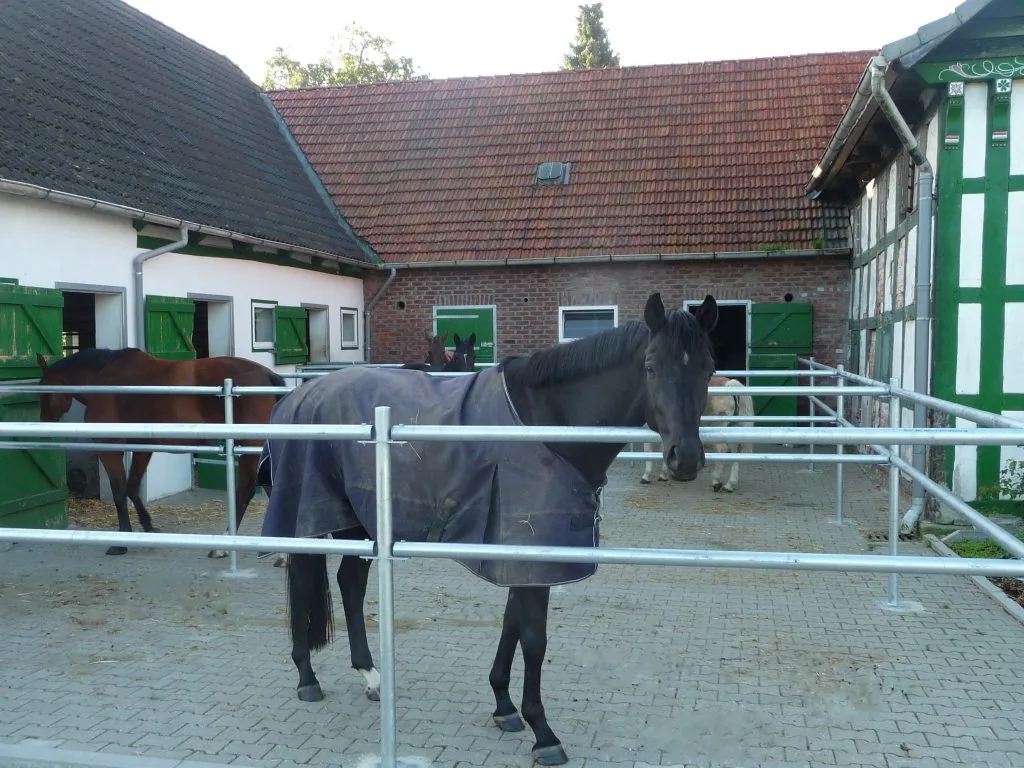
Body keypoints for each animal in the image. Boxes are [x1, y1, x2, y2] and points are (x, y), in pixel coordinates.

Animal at [36, 348, 287, 557]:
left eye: (45, 392)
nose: (43, 424)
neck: (102, 379)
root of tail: (268, 376)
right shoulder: (142, 447)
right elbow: (132, 487)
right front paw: (149, 527)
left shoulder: (110, 449)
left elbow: (119, 490)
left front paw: (121, 541)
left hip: (250, 450)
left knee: (248, 490)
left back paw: (224, 546)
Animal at [259, 292, 718, 766]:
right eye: (651, 366)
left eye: (708, 367)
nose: (685, 458)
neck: (547, 423)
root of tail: (295, 398)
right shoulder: (532, 552)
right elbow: (533, 639)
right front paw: (543, 732)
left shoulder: (522, 553)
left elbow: (511, 623)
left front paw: (504, 705)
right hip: (307, 518)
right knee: (303, 580)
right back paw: (307, 678)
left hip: (356, 519)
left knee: (350, 583)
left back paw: (371, 677)